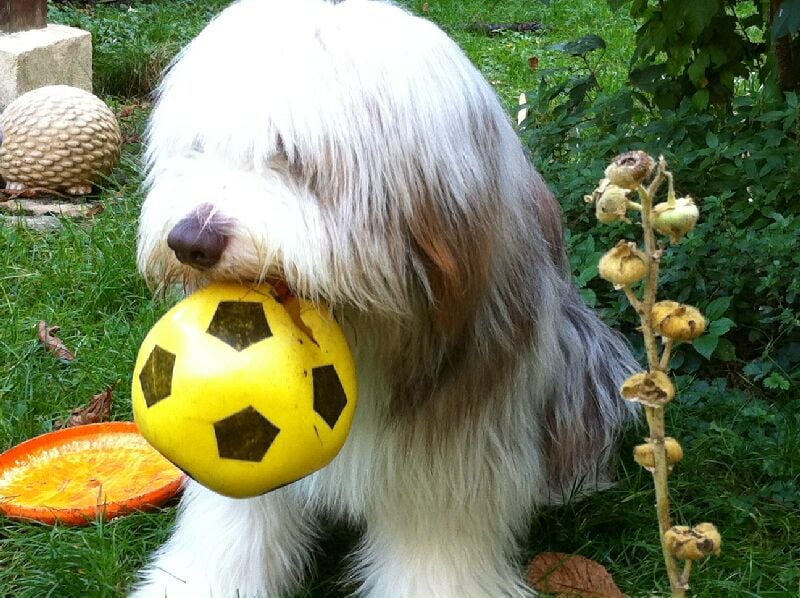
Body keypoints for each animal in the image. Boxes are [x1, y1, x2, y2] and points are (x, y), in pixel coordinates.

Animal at [134, 2, 640, 596]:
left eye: (290, 156)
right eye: (197, 148)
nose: (190, 242)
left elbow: (437, 538)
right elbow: (235, 519)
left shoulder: (456, 436)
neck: (361, 326)